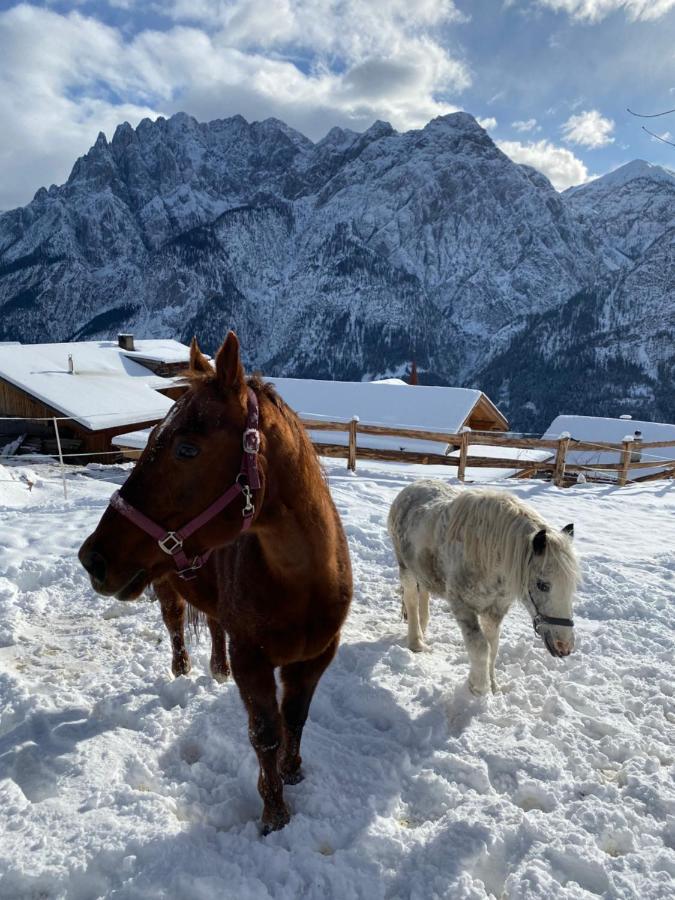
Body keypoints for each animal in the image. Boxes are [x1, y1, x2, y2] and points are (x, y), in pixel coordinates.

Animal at [80, 334, 354, 832]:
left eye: (187, 449)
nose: (93, 558)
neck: (302, 584)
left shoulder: (317, 656)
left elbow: (296, 718)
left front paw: (293, 771)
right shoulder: (254, 662)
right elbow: (265, 733)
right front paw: (274, 814)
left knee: (213, 624)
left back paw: (217, 669)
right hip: (164, 585)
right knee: (175, 624)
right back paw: (182, 670)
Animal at [390, 482, 580, 692]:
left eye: (571, 587)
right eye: (542, 585)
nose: (564, 646)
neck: (488, 557)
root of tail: (411, 487)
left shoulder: (494, 611)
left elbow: (493, 646)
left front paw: (493, 685)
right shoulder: (462, 606)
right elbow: (480, 647)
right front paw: (478, 687)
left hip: (422, 572)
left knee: (423, 594)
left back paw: (422, 632)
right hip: (405, 568)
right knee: (411, 600)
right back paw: (416, 642)